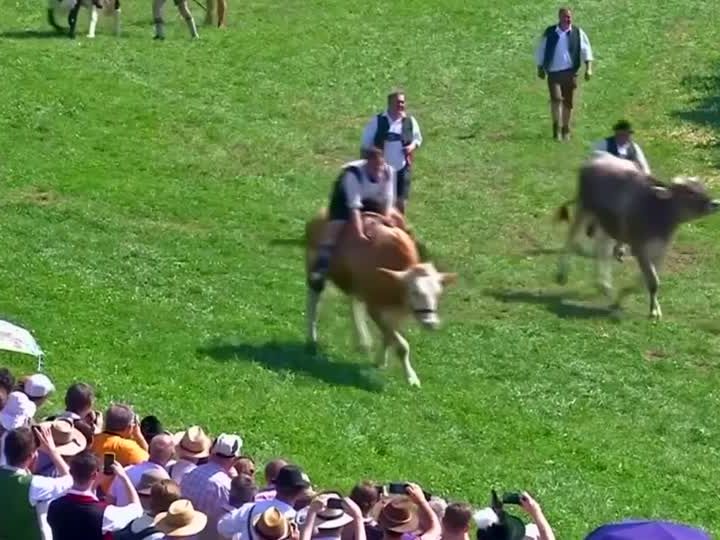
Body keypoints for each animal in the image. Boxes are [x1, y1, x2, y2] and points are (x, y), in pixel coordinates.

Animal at [304, 208, 456, 388]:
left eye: (438, 293)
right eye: (414, 291)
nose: (431, 322)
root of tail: (321, 214)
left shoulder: (396, 312)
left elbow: (390, 337)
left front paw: (380, 361)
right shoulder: (374, 308)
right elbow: (401, 345)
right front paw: (412, 378)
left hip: (356, 285)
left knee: (353, 303)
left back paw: (363, 341)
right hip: (314, 270)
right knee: (313, 302)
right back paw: (311, 341)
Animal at [556, 150, 716, 318]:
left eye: (702, 187)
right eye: (690, 192)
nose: (715, 203)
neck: (659, 213)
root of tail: (597, 156)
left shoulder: (660, 251)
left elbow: (647, 280)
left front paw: (626, 300)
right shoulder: (639, 248)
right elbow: (652, 281)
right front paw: (652, 311)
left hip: (605, 222)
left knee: (602, 249)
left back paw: (604, 285)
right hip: (584, 208)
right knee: (571, 238)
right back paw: (562, 274)